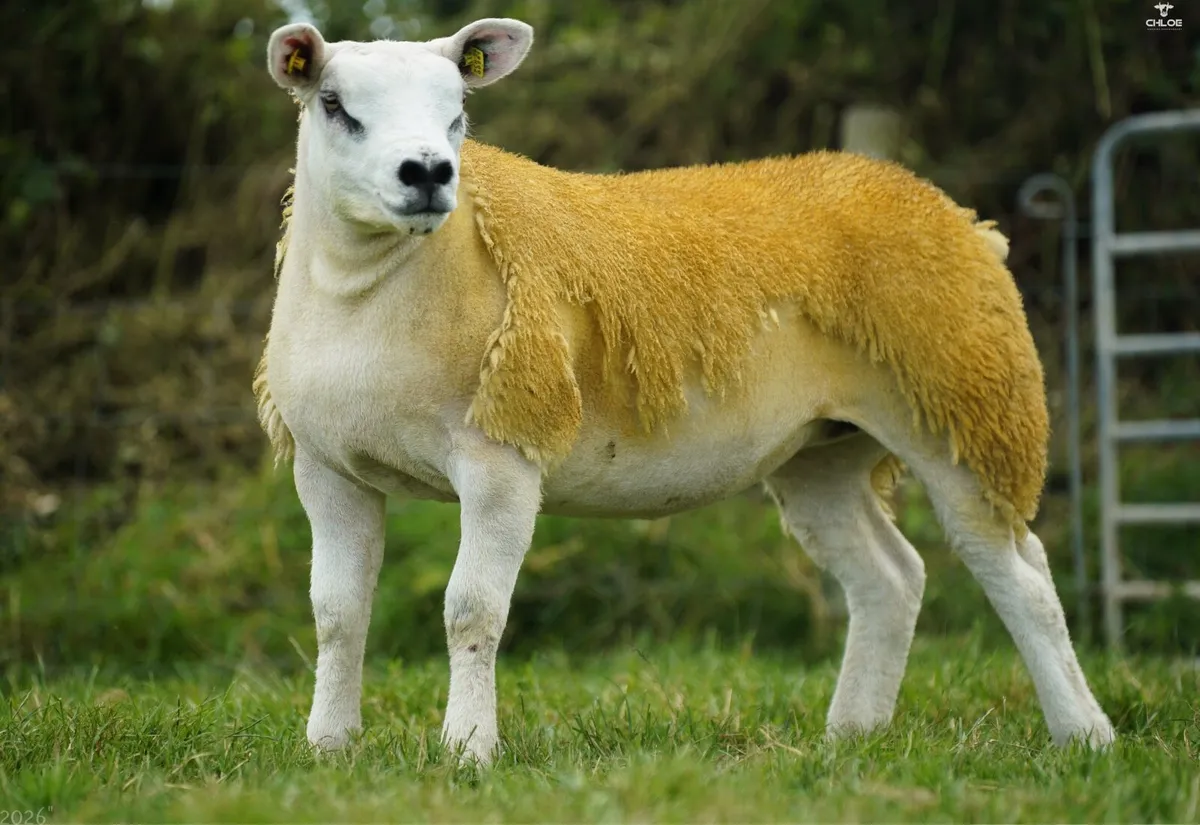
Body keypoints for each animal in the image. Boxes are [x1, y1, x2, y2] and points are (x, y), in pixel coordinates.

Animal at [255, 17, 1115, 764]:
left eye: (458, 113)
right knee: (890, 578)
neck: (377, 288)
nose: (431, 174)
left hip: (964, 402)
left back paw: (1084, 734)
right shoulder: (327, 468)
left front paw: (468, 749)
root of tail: (947, 210)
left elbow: (473, 609)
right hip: (823, 449)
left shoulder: (503, 453)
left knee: (1021, 575)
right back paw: (852, 736)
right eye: (335, 105)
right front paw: (328, 747)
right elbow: (337, 614)